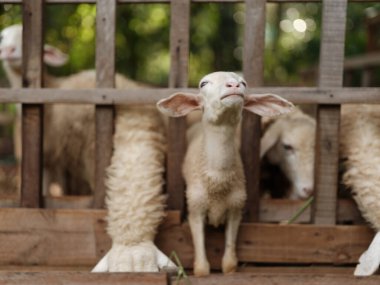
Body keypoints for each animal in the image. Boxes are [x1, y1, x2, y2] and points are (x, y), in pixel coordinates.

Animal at [156, 71, 292, 276]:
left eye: (244, 82)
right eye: (203, 83)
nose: (233, 85)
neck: (218, 180)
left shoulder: (236, 208)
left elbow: (229, 263)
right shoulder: (195, 208)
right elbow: (202, 268)